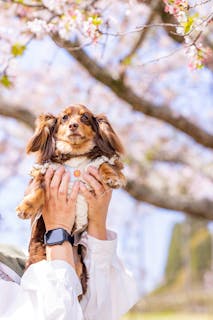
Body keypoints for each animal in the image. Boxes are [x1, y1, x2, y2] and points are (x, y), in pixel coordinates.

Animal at [16, 104, 126, 298]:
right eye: (64, 118)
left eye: (85, 118)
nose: (73, 125)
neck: (75, 156)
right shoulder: (46, 172)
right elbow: (40, 188)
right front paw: (26, 207)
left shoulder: (99, 162)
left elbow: (103, 164)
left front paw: (111, 177)